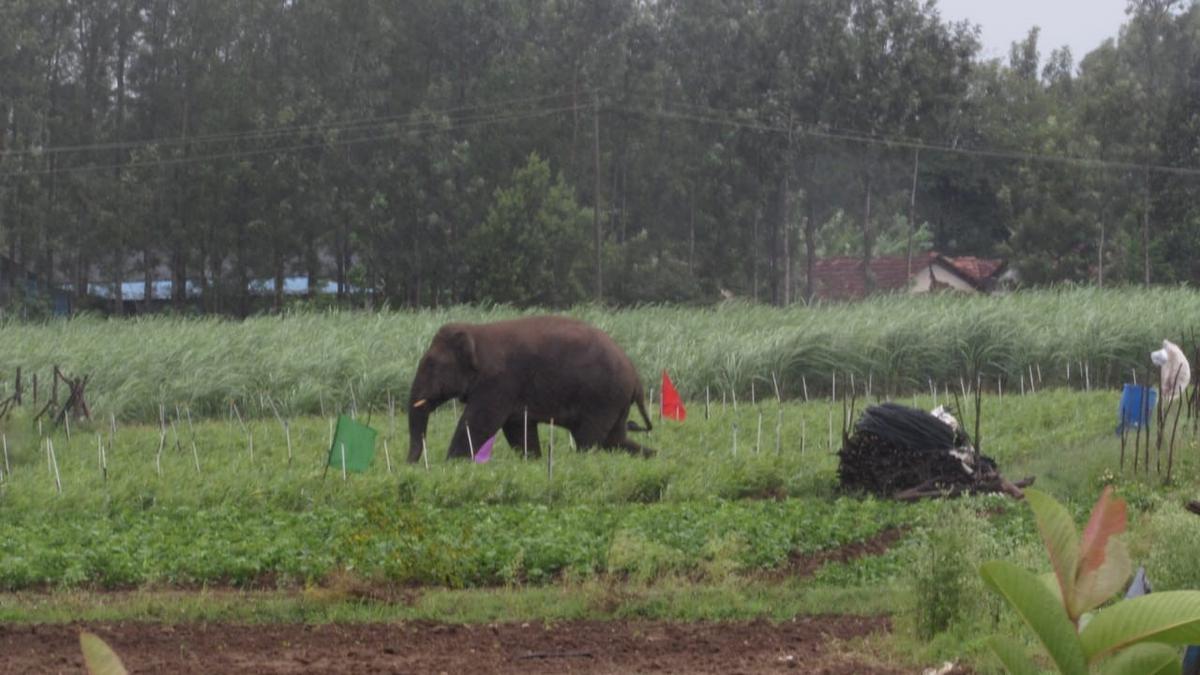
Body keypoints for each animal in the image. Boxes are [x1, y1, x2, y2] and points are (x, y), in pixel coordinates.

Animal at [406, 315, 655, 462]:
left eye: (430, 364)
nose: (410, 465)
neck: (476, 331)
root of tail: (636, 378)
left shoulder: (498, 382)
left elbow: (479, 422)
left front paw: (451, 464)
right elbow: (517, 428)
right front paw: (533, 460)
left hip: (602, 398)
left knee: (589, 439)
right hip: (616, 402)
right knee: (614, 440)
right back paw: (653, 456)